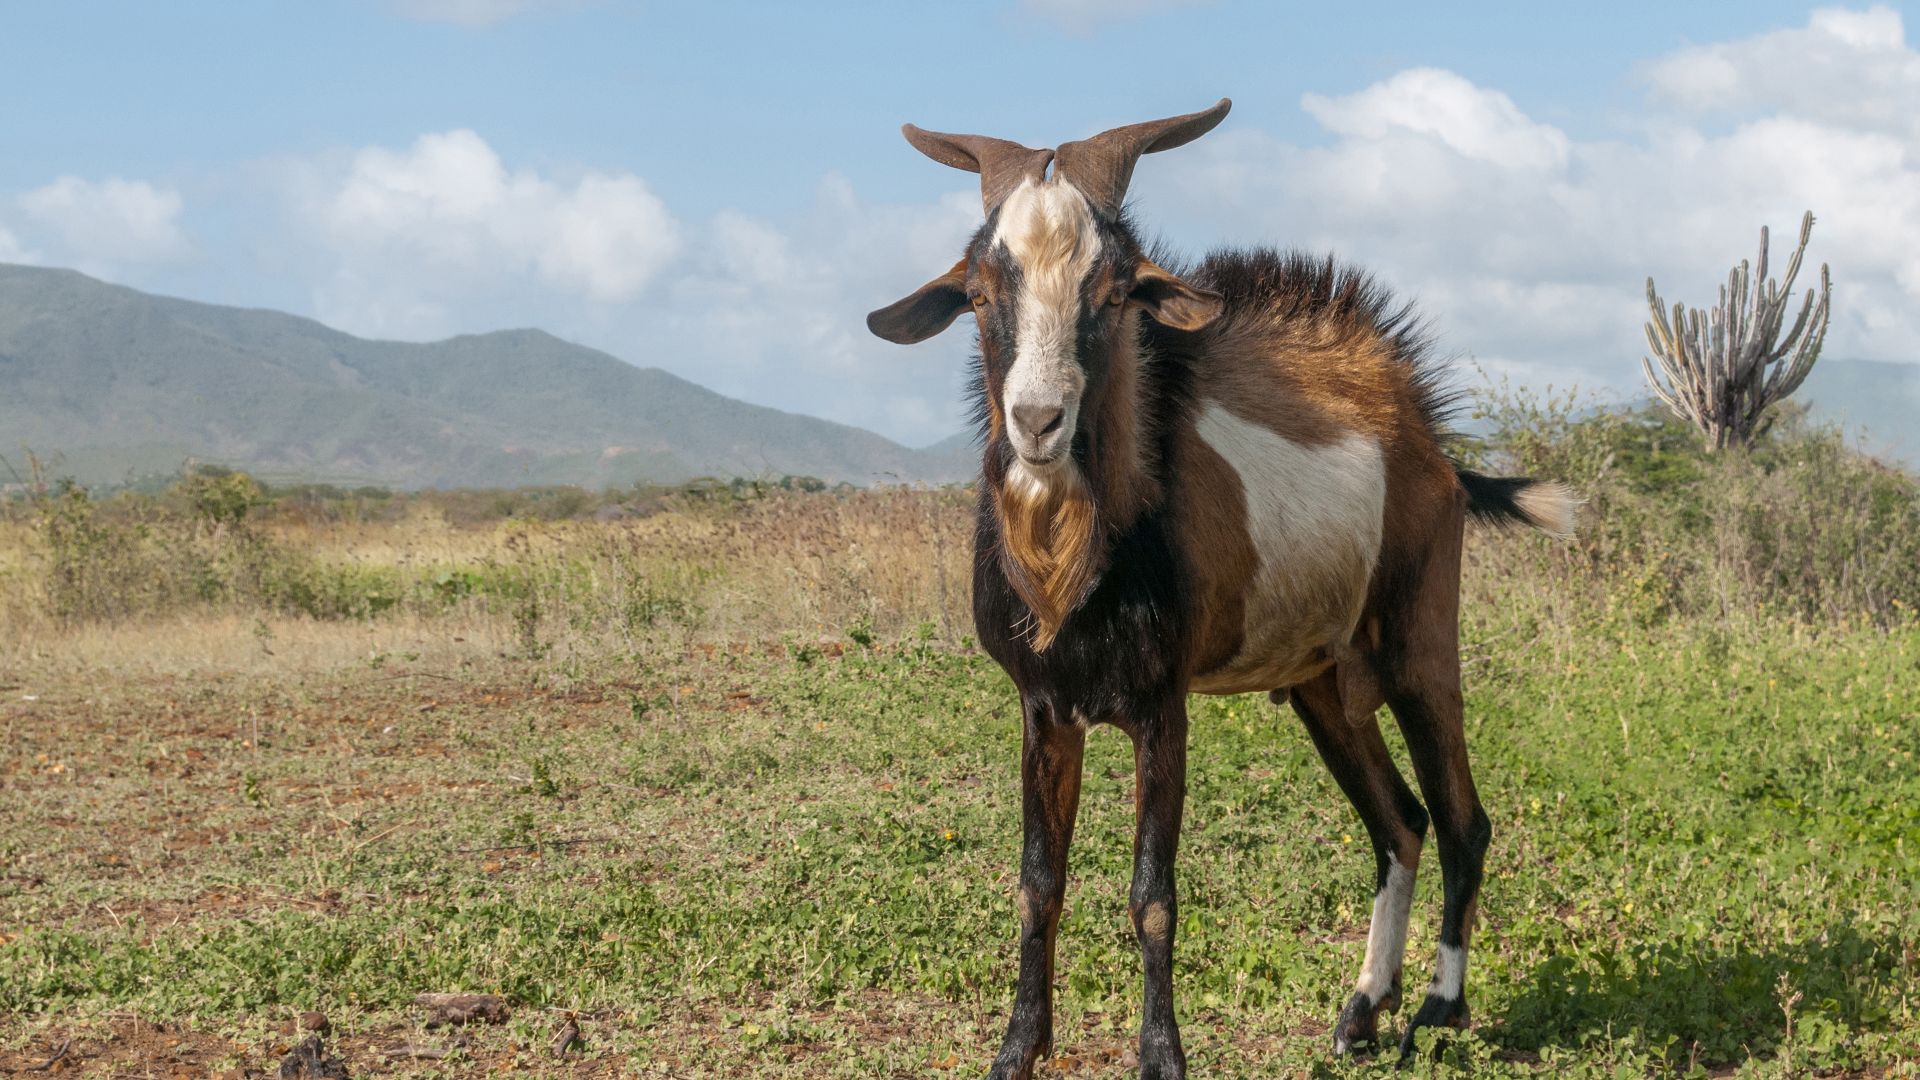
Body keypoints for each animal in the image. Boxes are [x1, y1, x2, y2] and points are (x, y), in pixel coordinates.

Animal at [867, 98, 1573, 1079]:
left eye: (1115, 291)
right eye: (977, 292)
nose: (1039, 422)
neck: (1078, 568)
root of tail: (1431, 446)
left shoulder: (1162, 705)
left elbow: (1152, 893)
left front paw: (1162, 1057)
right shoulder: (1045, 706)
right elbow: (1038, 884)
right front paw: (1017, 1050)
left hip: (1420, 645)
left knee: (1462, 817)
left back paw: (1438, 1011)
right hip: (1324, 681)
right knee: (1399, 822)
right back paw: (1362, 1011)